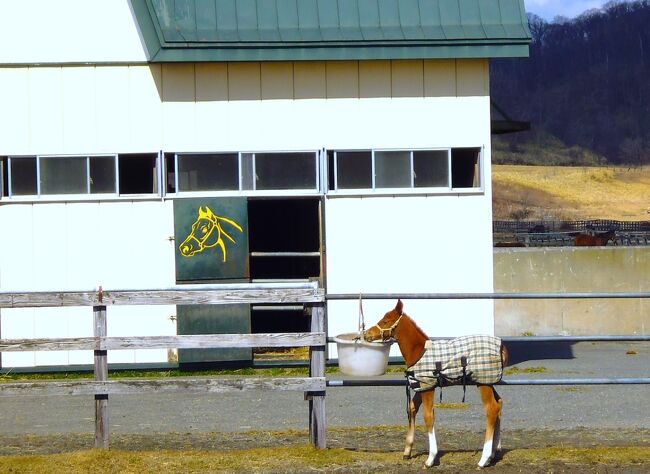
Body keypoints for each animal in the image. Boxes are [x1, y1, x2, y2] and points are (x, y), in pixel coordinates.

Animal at [364, 302, 506, 468]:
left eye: (386, 321)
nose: (366, 334)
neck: (419, 351)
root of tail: (502, 347)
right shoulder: (421, 386)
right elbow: (411, 408)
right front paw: (407, 451)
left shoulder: (428, 388)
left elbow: (428, 416)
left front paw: (431, 458)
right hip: (488, 382)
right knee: (499, 404)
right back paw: (493, 454)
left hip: (483, 384)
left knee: (492, 408)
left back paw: (483, 459)